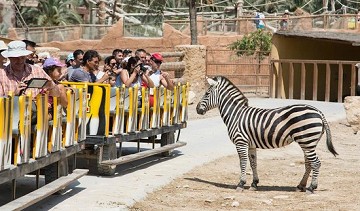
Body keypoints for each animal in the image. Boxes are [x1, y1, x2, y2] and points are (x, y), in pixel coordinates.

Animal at [195, 76, 338, 193]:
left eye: (206, 93)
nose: (197, 109)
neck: (235, 114)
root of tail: (319, 112)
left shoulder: (241, 141)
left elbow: (243, 162)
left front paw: (241, 184)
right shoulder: (251, 144)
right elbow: (253, 163)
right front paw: (254, 184)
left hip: (307, 140)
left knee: (316, 163)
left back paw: (311, 187)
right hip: (308, 142)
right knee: (309, 163)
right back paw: (300, 186)